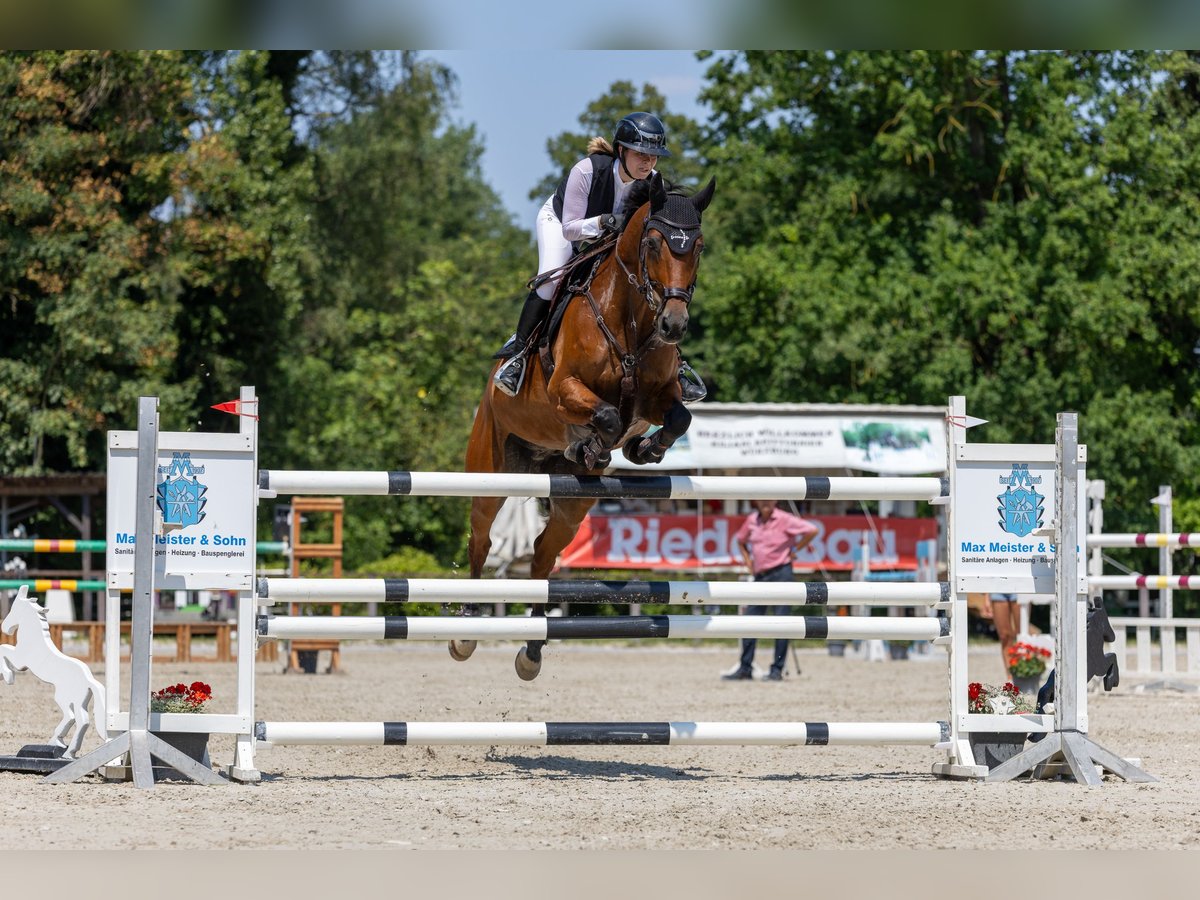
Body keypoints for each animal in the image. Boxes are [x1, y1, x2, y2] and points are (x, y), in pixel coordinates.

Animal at [1, 588, 108, 758]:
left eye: (13, 609)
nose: (5, 628)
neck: (33, 638)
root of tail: (89, 679)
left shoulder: (20, 661)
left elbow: (3, 649)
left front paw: (8, 676)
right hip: (78, 701)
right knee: (79, 720)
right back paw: (60, 745)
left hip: (63, 697)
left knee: (75, 718)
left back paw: (66, 751)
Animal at [458, 169, 710, 681]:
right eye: (653, 243)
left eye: (698, 246)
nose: (673, 326)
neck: (631, 316)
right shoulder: (564, 390)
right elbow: (609, 415)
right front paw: (599, 443)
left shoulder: (658, 397)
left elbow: (678, 415)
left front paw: (642, 450)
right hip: (490, 470)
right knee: (482, 539)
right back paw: (468, 630)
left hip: (573, 504)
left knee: (542, 553)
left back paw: (532, 651)